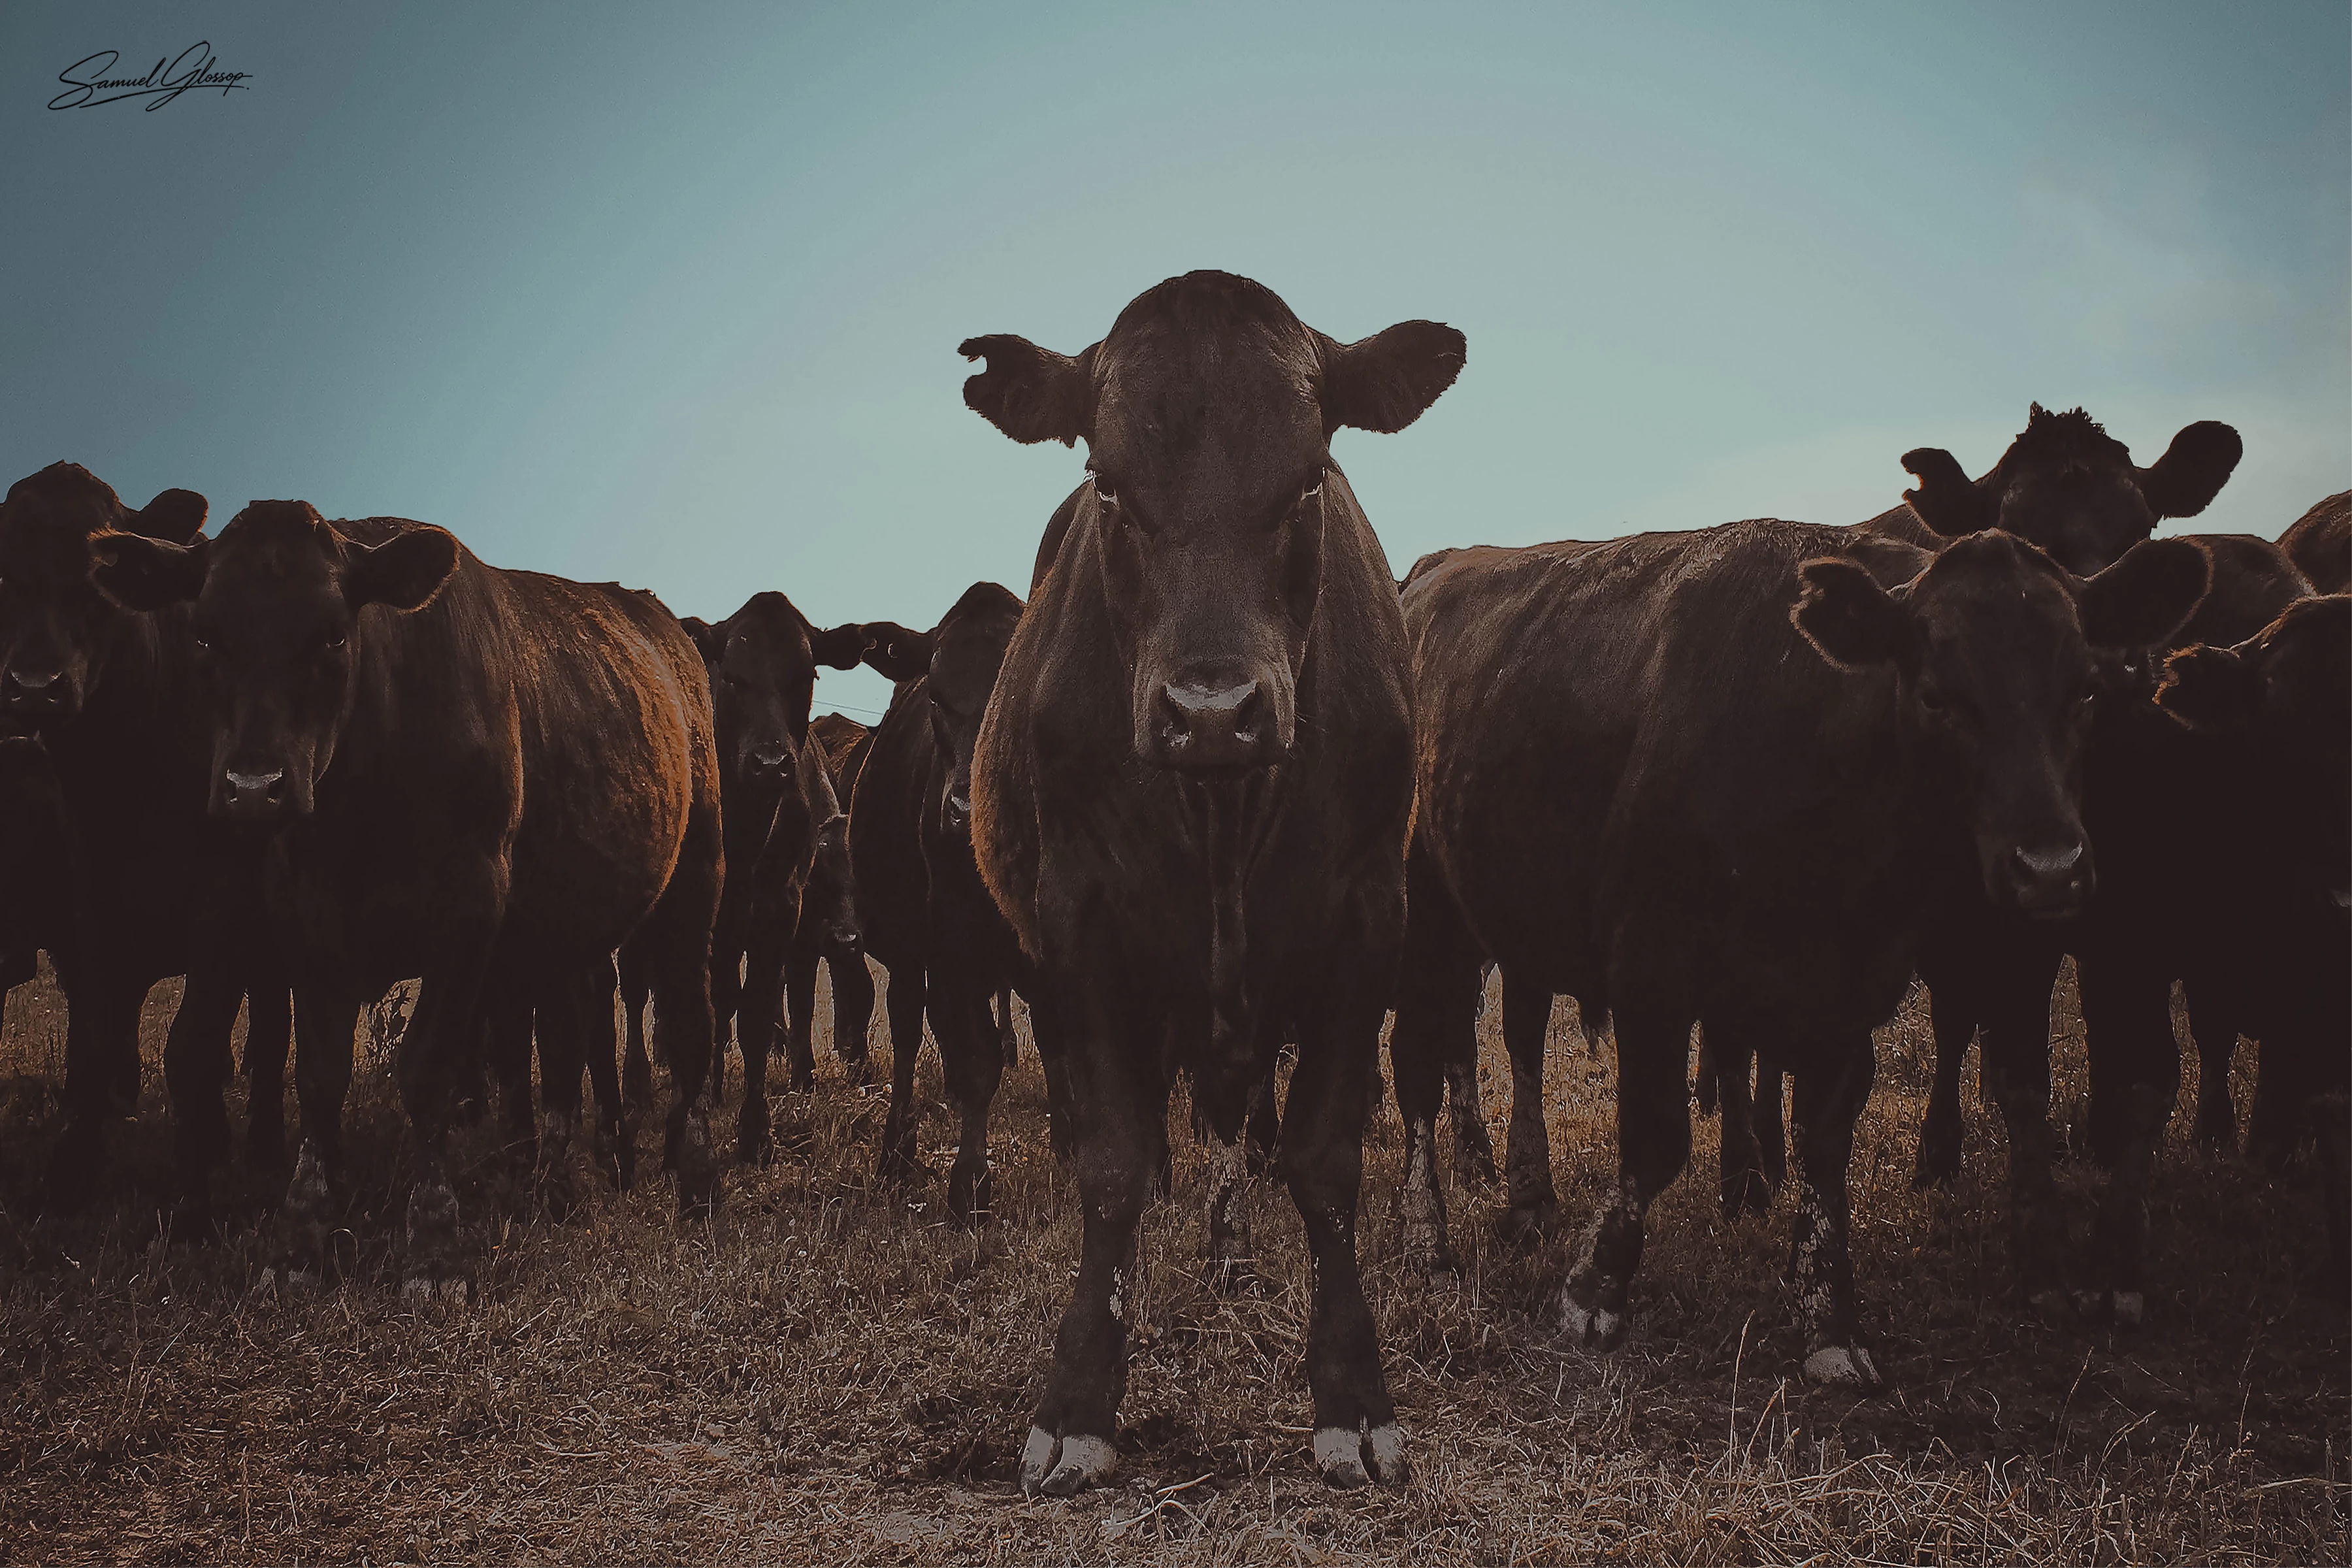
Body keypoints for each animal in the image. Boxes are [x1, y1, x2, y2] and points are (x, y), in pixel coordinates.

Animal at [0, 462, 289, 1219]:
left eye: (104, 577)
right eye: (4, 572)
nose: (34, 687)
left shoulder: (224, 895)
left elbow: (190, 1046)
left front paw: (195, 1187)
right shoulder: (90, 897)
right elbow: (96, 1037)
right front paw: (70, 1172)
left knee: (271, 1033)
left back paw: (266, 1147)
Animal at [92, 501, 724, 1294]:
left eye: (333, 633)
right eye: (204, 633)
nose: (253, 788)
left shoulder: (469, 912)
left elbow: (427, 1072)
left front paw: (432, 1241)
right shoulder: (304, 918)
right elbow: (319, 1076)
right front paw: (301, 1235)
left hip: (696, 872)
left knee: (691, 1016)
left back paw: (697, 1179)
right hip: (562, 923)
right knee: (569, 1036)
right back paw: (553, 1182)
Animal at [850, 584, 1053, 1221]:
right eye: (937, 695)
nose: (966, 811)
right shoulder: (951, 950)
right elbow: (977, 1059)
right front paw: (970, 1185)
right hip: (907, 951)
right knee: (909, 1029)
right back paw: (896, 1151)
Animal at [962, 271, 1459, 1494]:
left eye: (1310, 473)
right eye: (1107, 479)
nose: (1213, 710)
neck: (1224, 809)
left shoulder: (1367, 924)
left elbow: (1325, 1162)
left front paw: (1354, 1399)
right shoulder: (1079, 929)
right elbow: (1113, 1164)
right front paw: (1079, 1402)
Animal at [1388, 513, 2207, 1389]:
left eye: (2085, 690)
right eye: (1937, 696)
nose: (2050, 867)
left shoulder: (1852, 987)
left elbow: (1824, 1144)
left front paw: (1830, 1317)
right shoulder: (1652, 964)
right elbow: (1658, 1137)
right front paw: (1594, 1289)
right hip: (1424, 910)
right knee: (1418, 1068)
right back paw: (1427, 1245)